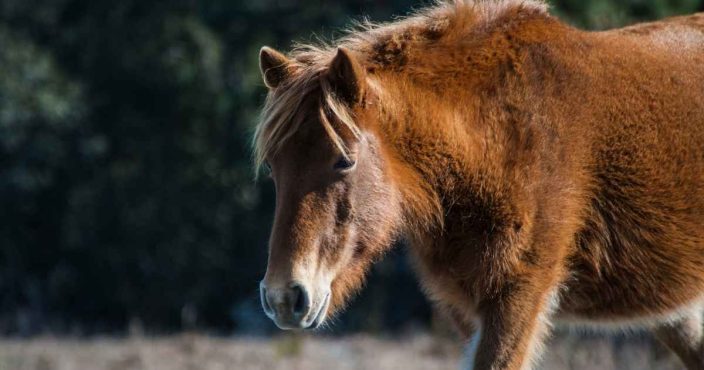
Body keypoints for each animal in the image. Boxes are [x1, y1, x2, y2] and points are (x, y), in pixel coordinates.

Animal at [252, 1, 704, 368]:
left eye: (344, 161)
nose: (283, 298)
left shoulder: (519, 298)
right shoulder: (468, 311)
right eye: (274, 167)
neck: (501, 137)